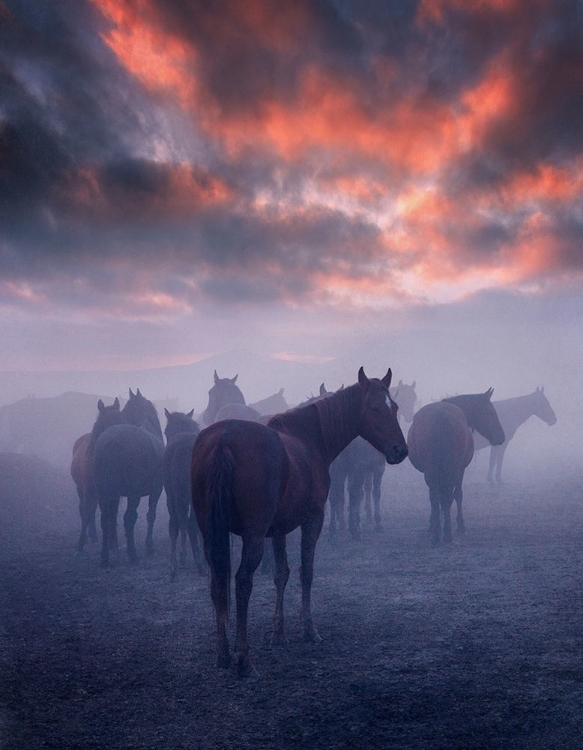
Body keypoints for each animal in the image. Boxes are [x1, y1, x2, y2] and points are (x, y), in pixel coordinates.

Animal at [70, 400, 124, 552]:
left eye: (122, 419)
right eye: (108, 421)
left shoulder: (114, 491)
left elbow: (112, 514)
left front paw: (113, 544)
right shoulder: (88, 489)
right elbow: (87, 512)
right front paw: (80, 544)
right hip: (82, 489)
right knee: (86, 509)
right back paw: (90, 537)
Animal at [95, 390, 164, 568]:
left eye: (124, 410)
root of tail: (111, 443)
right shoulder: (156, 490)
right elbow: (151, 516)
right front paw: (149, 546)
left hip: (103, 492)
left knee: (105, 520)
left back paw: (104, 557)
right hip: (134, 494)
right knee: (129, 518)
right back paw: (132, 554)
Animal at [190, 368, 406, 680]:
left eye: (395, 407)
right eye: (375, 408)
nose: (400, 450)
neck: (309, 437)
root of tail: (224, 439)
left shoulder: (278, 529)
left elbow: (281, 574)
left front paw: (278, 633)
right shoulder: (312, 520)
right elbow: (306, 572)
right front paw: (309, 629)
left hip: (211, 534)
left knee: (217, 582)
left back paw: (223, 654)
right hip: (253, 537)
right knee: (242, 582)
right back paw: (244, 659)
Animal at [406, 394, 506, 548]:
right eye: (491, 412)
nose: (501, 437)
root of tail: (440, 418)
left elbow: (438, 499)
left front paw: (433, 524)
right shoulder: (460, 470)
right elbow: (457, 495)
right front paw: (460, 526)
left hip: (433, 471)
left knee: (436, 497)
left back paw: (437, 535)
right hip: (452, 469)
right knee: (448, 496)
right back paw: (447, 534)